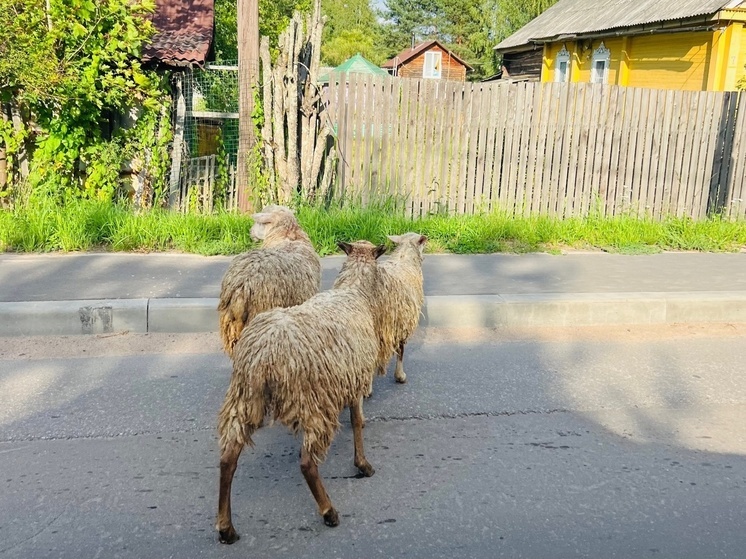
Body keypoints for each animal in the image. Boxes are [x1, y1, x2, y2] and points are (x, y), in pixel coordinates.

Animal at [214, 238, 390, 544]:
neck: (354, 292)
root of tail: (264, 355)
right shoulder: (354, 379)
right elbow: (357, 421)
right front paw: (363, 464)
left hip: (245, 397)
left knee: (228, 458)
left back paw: (227, 528)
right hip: (313, 402)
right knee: (307, 463)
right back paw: (329, 512)